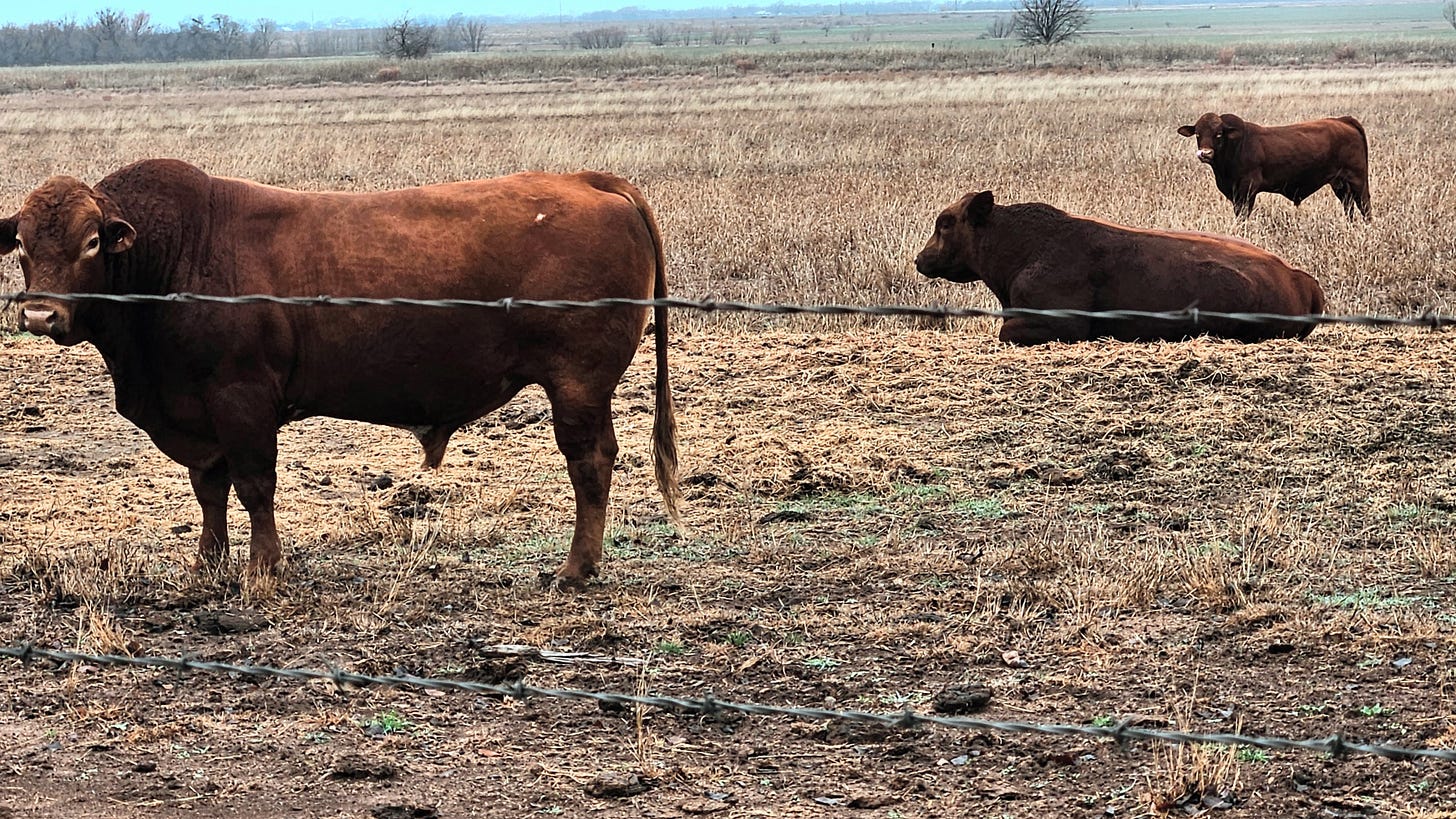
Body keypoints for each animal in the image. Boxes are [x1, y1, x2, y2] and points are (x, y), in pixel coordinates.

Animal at [1, 158, 682, 588]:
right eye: (24, 245)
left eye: (92, 241)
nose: (38, 313)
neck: (179, 254)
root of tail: (587, 181)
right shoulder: (195, 411)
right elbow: (209, 491)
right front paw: (207, 565)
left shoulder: (241, 398)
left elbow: (254, 486)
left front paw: (263, 569)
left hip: (579, 384)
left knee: (590, 463)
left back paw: (575, 569)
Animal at [1176, 112, 1371, 221]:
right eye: (1198, 134)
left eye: (1218, 134)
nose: (1205, 153)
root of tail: (1343, 120)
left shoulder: (1247, 189)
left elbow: (1243, 215)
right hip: (1339, 183)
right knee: (1349, 206)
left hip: (1357, 179)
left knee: (1365, 205)